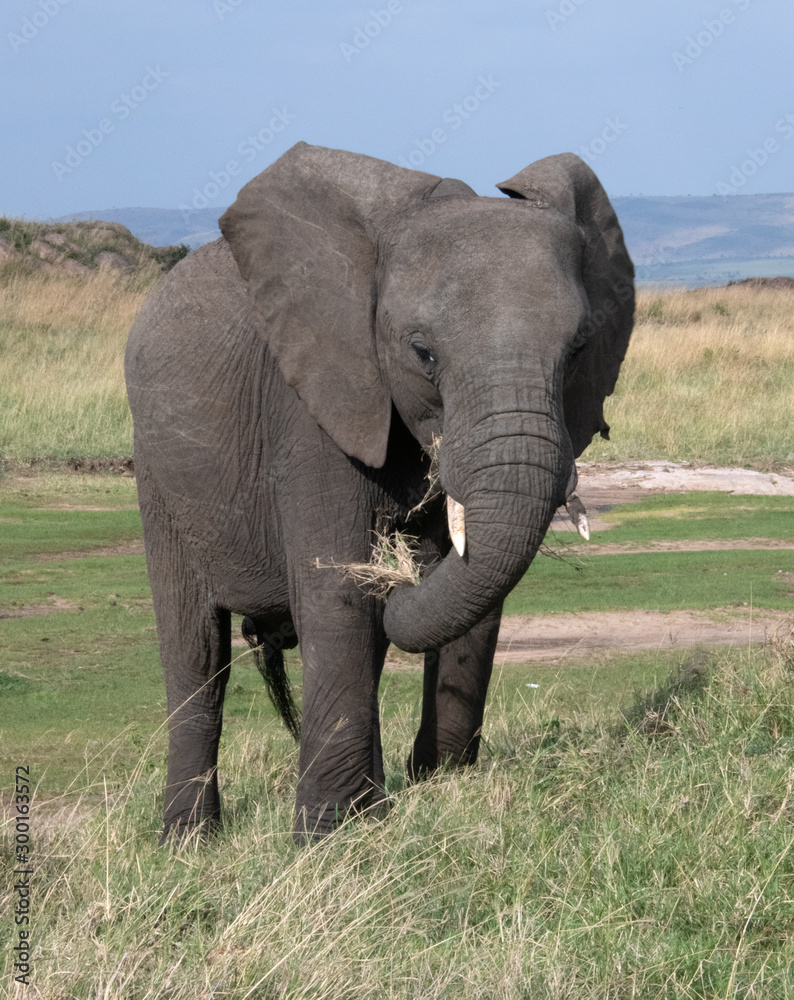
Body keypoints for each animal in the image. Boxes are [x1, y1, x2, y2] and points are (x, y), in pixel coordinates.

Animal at [124, 142, 634, 844]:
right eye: (422, 353)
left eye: (580, 349)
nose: (399, 564)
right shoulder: (312, 401)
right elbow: (335, 591)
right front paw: (328, 838)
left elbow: (471, 593)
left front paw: (437, 789)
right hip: (158, 471)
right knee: (196, 649)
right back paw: (187, 844)